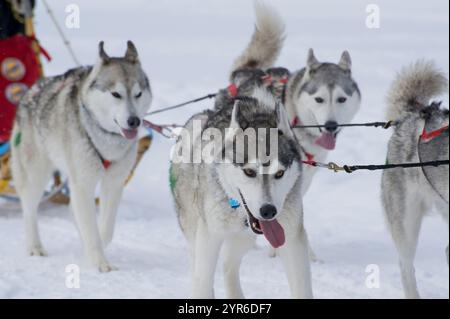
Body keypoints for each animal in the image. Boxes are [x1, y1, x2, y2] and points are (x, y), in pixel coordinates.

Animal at [11, 42, 152, 272]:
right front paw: (101, 263)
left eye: (138, 94)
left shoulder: (114, 183)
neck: (106, 136)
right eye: (116, 94)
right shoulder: (83, 184)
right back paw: (34, 247)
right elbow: (91, 230)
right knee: (29, 210)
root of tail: (30, 91)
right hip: (35, 175)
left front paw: (94, 244)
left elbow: (104, 228)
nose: (134, 121)